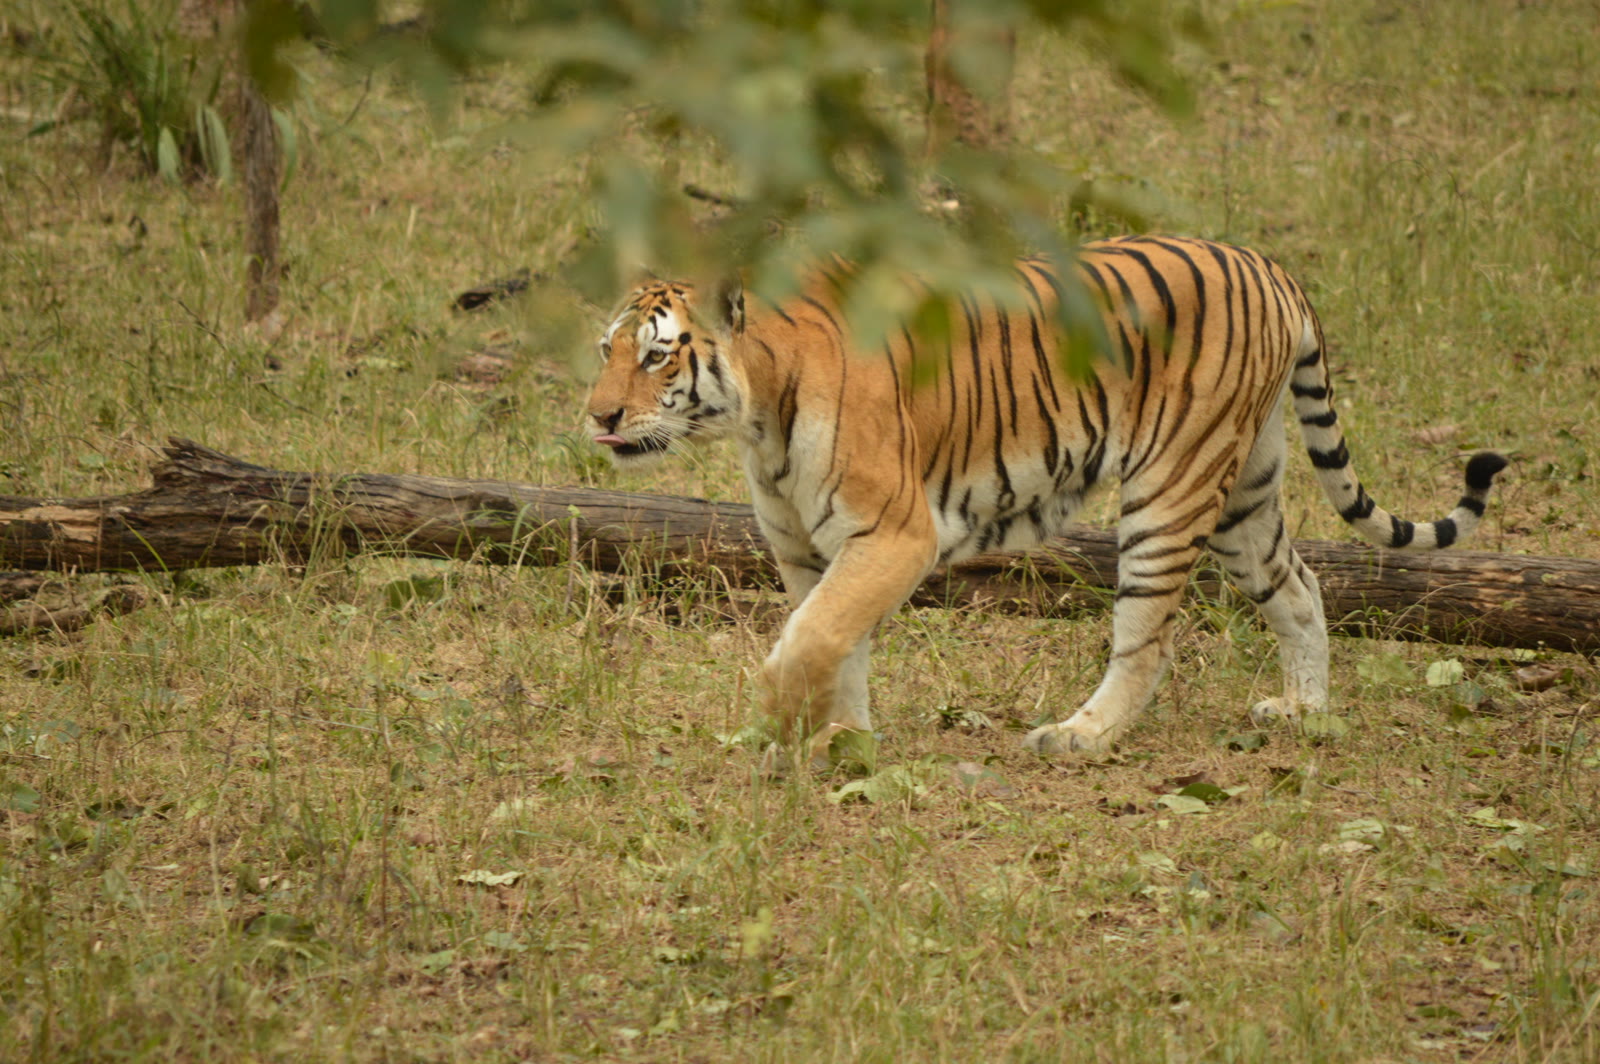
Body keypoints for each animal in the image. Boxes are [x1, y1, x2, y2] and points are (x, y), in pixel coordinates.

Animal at [583, 236, 1507, 762]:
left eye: (658, 356)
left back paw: (1081, 737)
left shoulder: (894, 534)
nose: (597, 416)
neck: (759, 419)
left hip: (1171, 490)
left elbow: (814, 636)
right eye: (605, 350)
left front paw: (776, 725)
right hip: (1246, 491)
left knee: (1147, 640)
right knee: (1303, 587)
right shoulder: (807, 549)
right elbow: (837, 640)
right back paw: (1305, 712)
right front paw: (844, 743)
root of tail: (1269, 267)